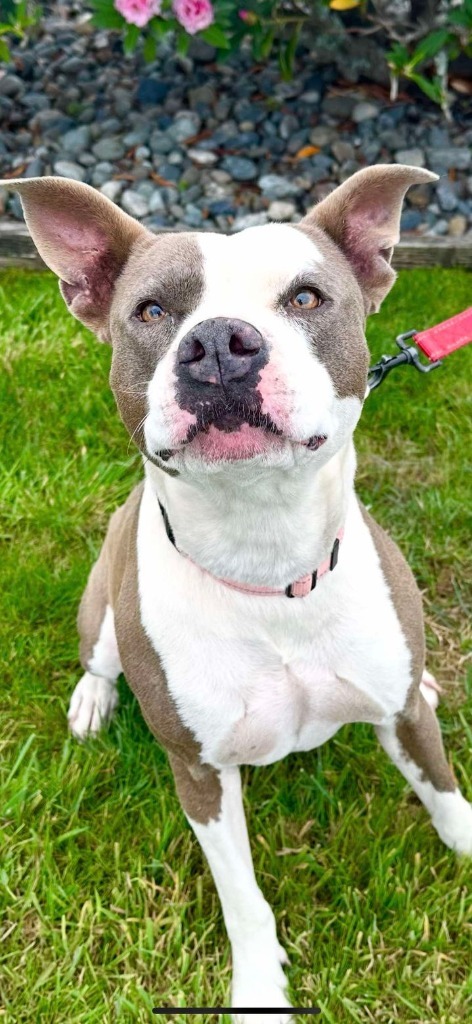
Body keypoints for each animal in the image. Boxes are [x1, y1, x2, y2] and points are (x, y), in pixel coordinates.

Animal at [7, 163, 470, 1019]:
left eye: (307, 298)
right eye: (152, 311)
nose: (220, 342)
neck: (268, 560)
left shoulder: (401, 719)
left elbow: (447, 797)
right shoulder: (200, 775)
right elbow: (243, 900)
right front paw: (259, 989)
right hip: (103, 604)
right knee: (100, 656)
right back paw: (92, 701)